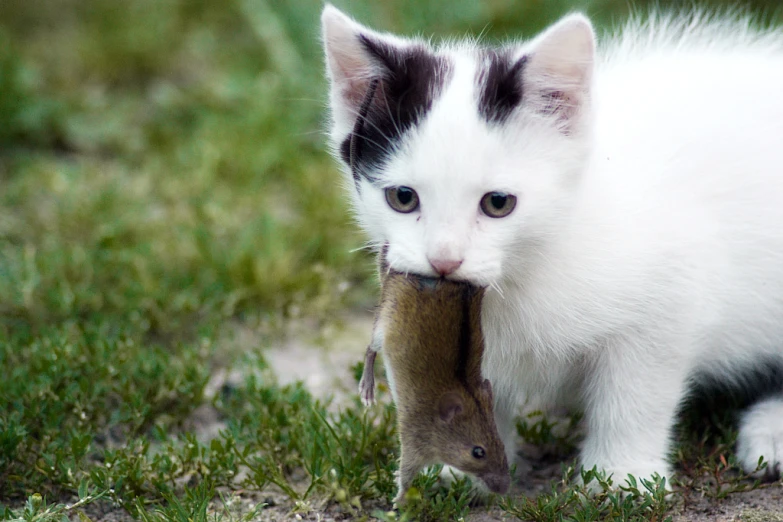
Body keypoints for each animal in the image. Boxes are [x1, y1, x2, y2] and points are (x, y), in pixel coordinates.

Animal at [320, 4, 783, 486]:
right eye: (402, 197)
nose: (444, 260)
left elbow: (635, 395)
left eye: (498, 203)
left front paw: (621, 475)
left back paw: (769, 438)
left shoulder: (670, 299)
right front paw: (463, 465)